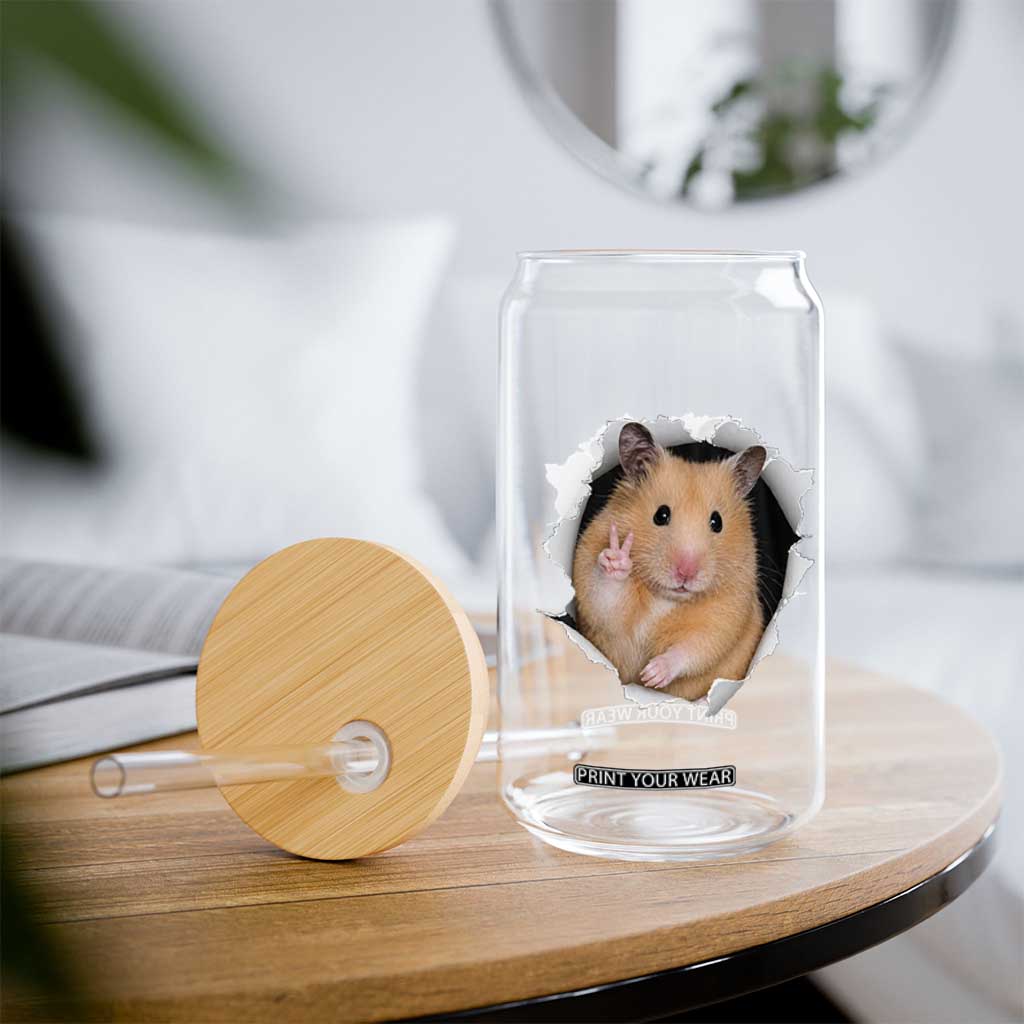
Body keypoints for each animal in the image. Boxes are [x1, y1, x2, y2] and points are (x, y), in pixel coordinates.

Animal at [571, 422, 766, 702]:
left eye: (717, 522)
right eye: (660, 515)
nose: (686, 573)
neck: (665, 597)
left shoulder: (729, 610)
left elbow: (696, 646)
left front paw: (651, 675)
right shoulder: (597, 604)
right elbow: (607, 603)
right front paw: (618, 557)